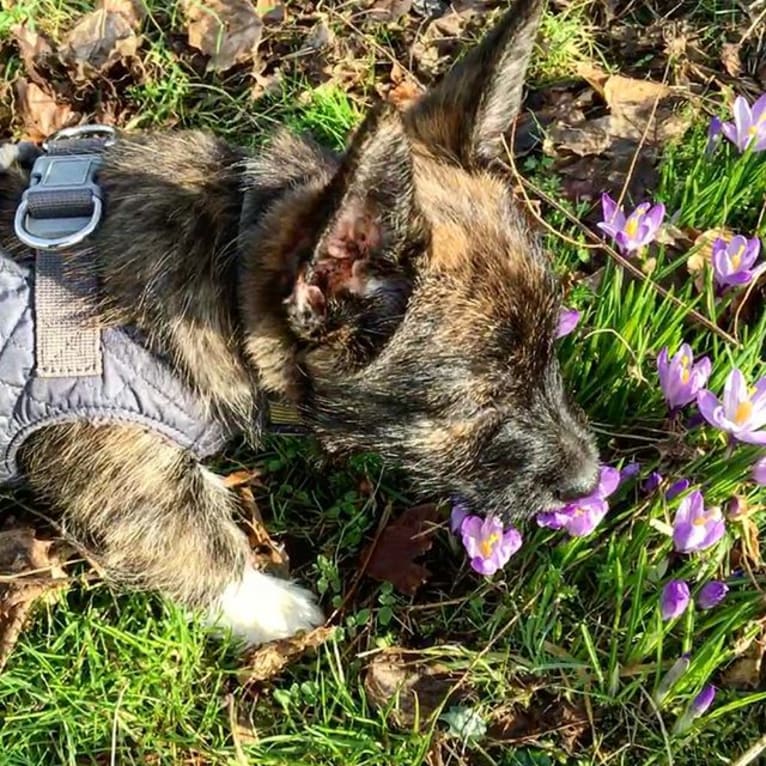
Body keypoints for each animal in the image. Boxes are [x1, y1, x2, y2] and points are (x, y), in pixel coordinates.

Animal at [0, 0, 600, 648]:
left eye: (551, 349)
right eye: (476, 404)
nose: (590, 482)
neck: (226, 274)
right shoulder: (120, 459)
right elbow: (185, 536)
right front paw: (271, 605)